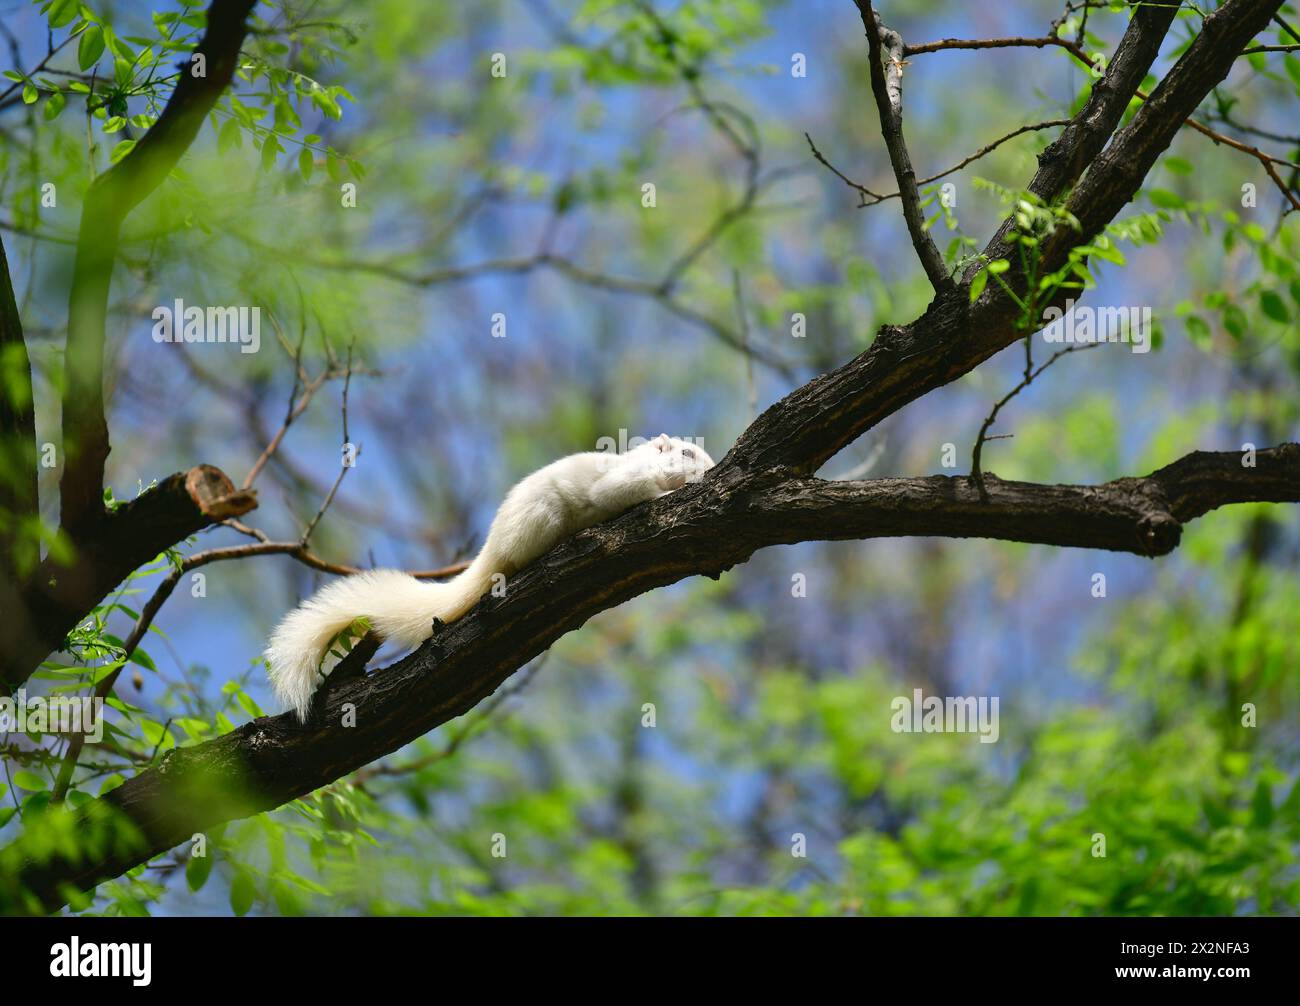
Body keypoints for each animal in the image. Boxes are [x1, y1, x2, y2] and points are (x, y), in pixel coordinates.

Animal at [265, 434, 716, 720]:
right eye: (687, 452)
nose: (711, 467)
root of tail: (493, 550)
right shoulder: (617, 485)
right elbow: (624, 494)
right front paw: (666, 494)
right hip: (542, 521)